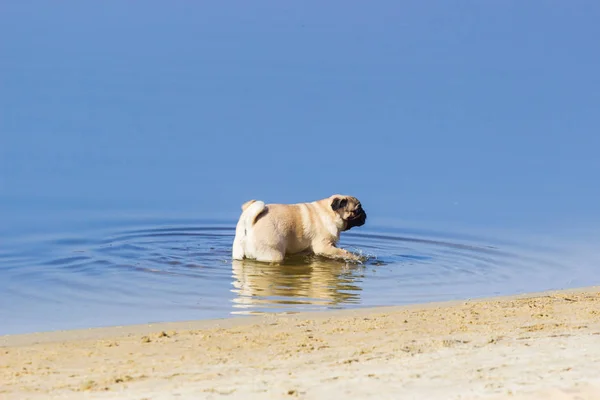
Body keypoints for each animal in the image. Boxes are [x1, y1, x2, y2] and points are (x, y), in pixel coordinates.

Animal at [233, 195, 366, 264]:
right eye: (357, 210)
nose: (364, 214)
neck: (328, 212)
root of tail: (249, 222)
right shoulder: (324, 246)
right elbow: (343, 252)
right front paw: (356, 258)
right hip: (272, 253)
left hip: (238, 252)